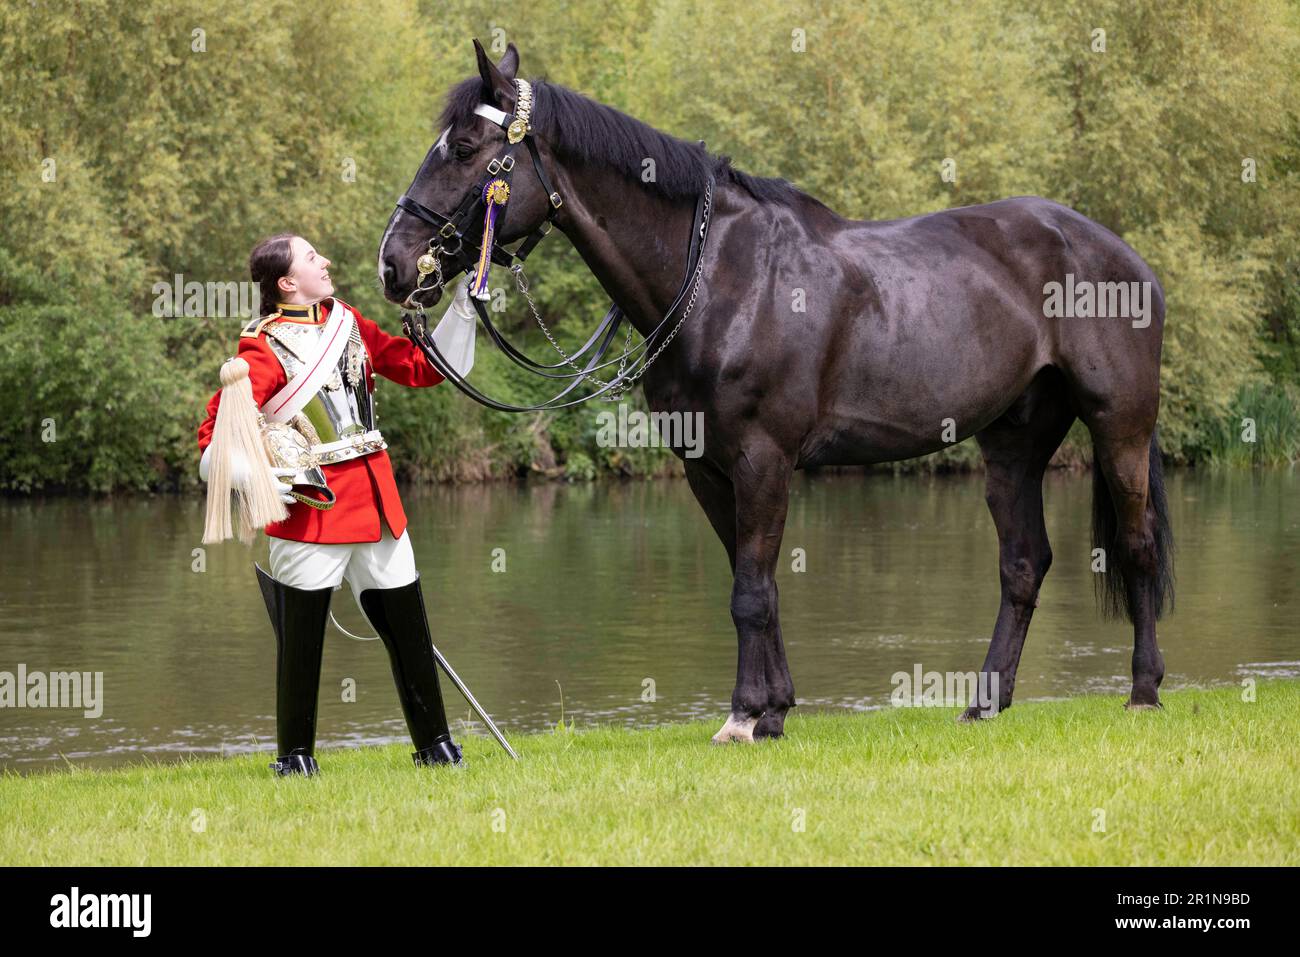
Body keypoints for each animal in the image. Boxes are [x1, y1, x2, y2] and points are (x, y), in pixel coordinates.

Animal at [374, 44, 1170, 743]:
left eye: (468, 147)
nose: (394, 263)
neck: (719, 277)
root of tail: (1122, 254)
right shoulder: (708, 469)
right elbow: (754, 586)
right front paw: (773, 710)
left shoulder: (764, 459)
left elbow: (751, 593)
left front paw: (744, 717)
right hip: (1012, 442)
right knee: (1024, 563)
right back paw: (984, 703)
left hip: (1119, 428)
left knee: (1136, 546)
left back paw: (1143, 691)